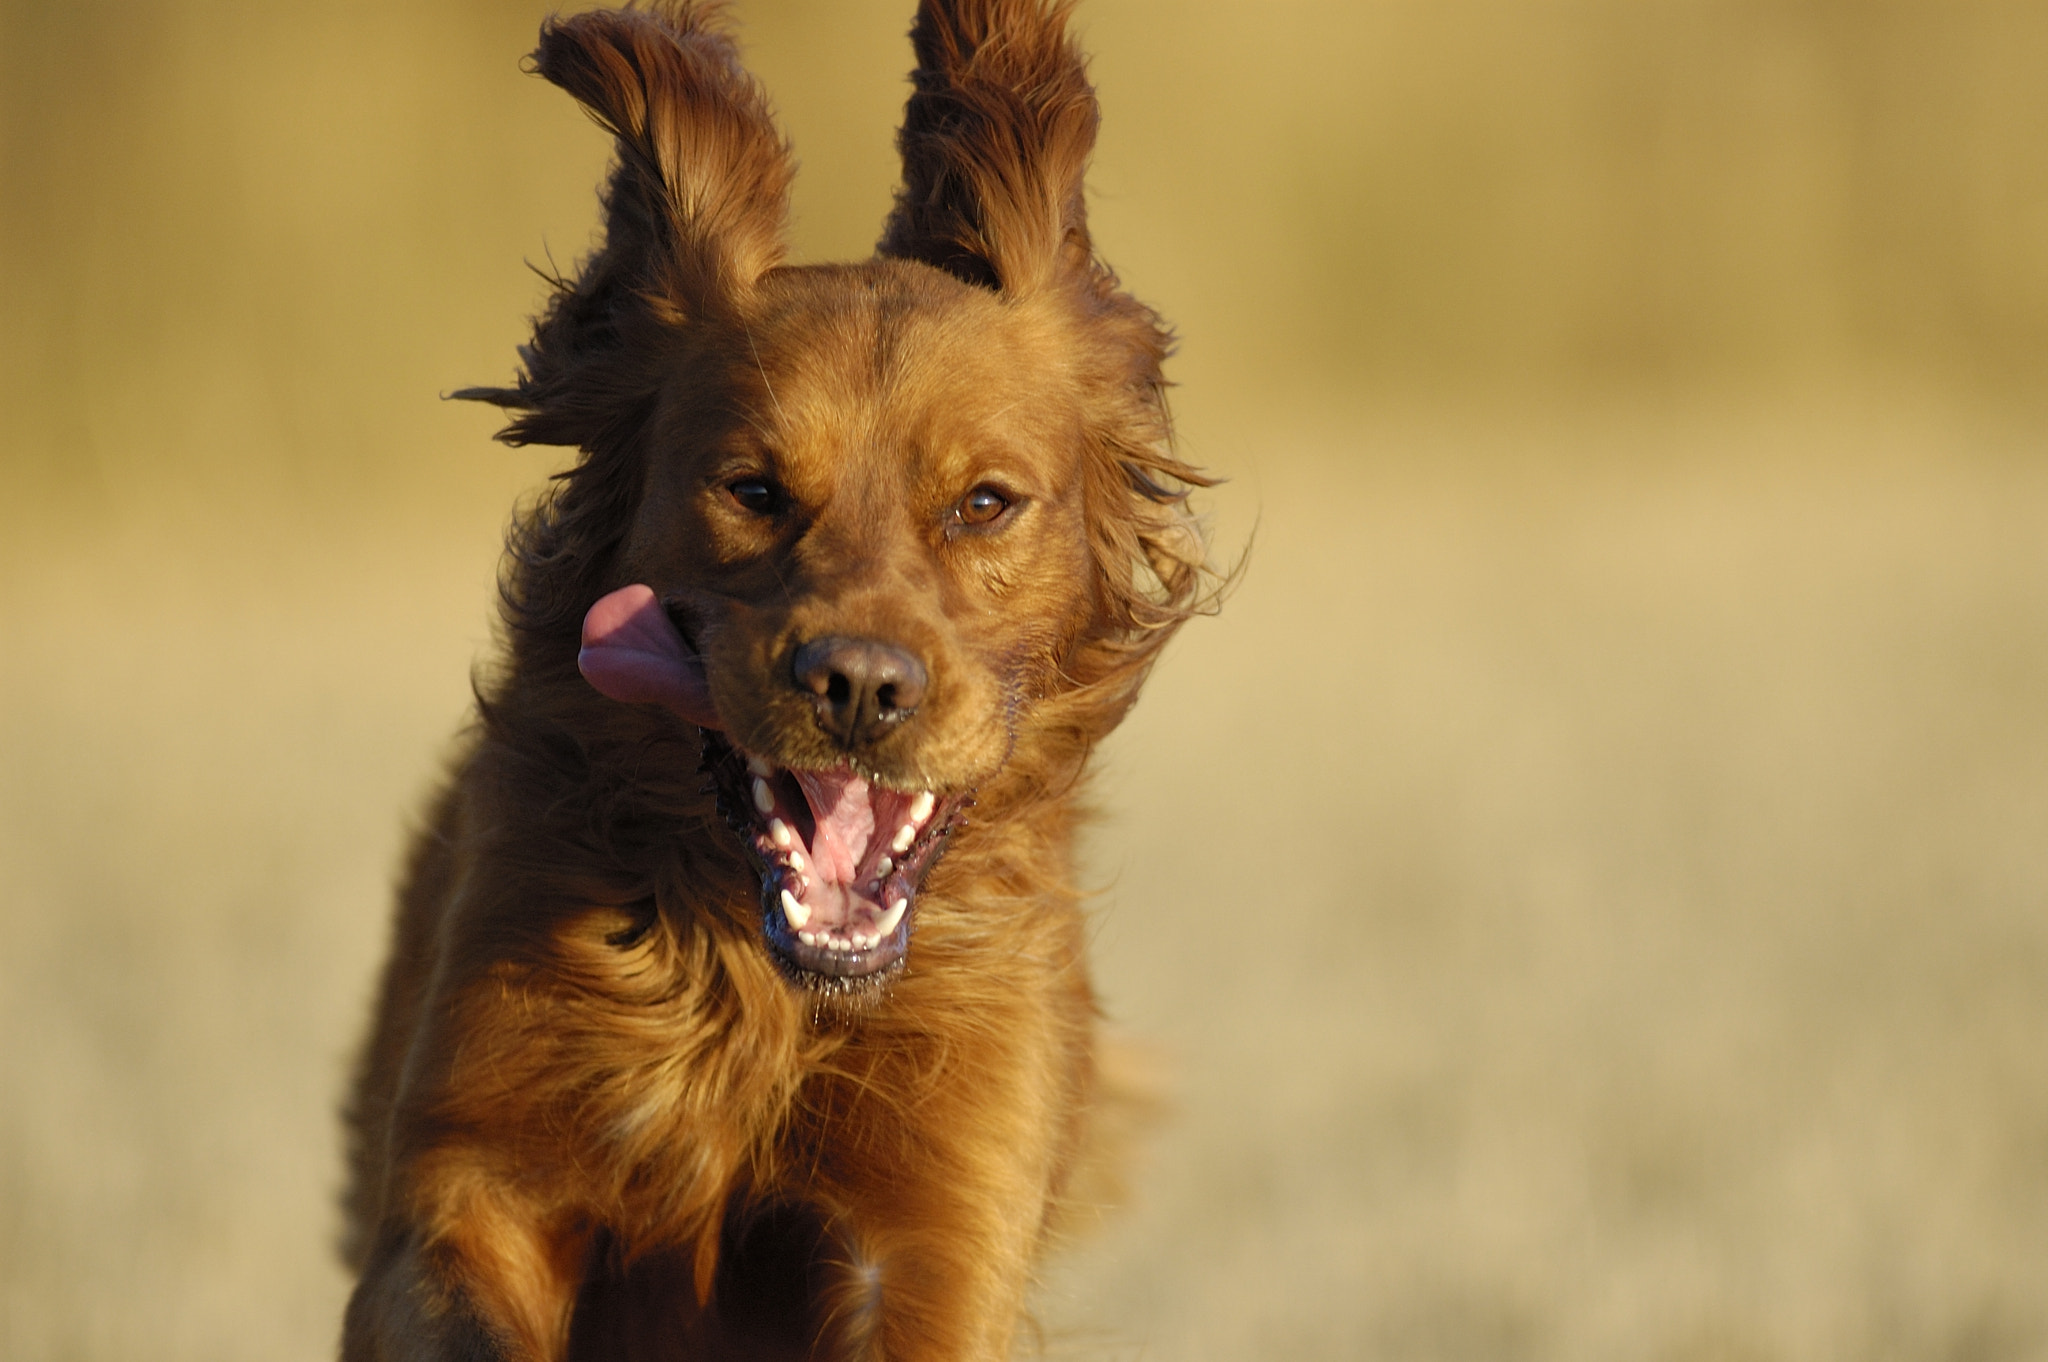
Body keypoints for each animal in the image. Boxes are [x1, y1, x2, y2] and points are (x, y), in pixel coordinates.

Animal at [342, 5, 1204, 1351]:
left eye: (982, 504)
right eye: (750, 489)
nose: (858, 687)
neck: (762, 991)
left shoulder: (938, 1232)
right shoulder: (466, 1178)